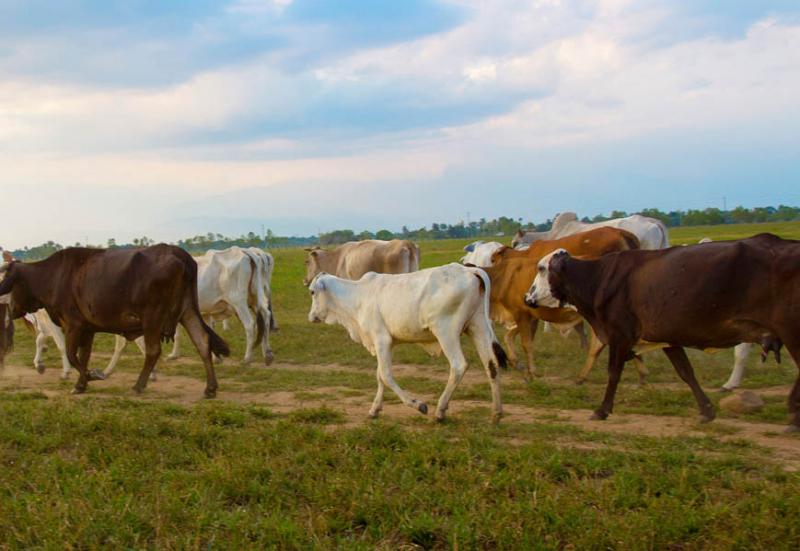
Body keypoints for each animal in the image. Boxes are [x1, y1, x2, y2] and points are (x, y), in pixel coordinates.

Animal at [0, 246, 230, 396]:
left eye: (6, 278)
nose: (7, 309)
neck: (53, 276)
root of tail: (179, 254)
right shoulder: (87, 328)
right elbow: (83, 356)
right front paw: (82, 383)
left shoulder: (73, 325)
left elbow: (72, 355)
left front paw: (90, 376)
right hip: (187, 311)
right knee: (202, 341)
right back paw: (210, 388)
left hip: (153, 317)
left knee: (153, 351)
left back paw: (139, 385)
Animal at [306, 266, 506, 424]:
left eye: (312, 292)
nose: (311, 316)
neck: (358, 296)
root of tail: (470, 270)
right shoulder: (385, 344)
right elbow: (380, 375)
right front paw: (374, 410)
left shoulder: (381, 340)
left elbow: (386, 376)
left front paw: (418, 405)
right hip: (478, 327)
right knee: (491, 365)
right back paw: (496, 413)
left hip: (446, 332)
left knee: (459, 365)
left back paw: (440, 411)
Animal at [478, 225, 648, 384]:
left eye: (492, 259)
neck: (507, 275)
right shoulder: (530, 315)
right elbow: (511, 337)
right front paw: (522, 368)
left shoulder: (522, 314)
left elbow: (526, 343)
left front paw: (531, 372)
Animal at [524, 233, 800, 432]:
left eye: (541, 269)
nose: (527, 297)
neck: (598, 278)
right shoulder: (666, 338)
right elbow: (686, 372)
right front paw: (706, 410)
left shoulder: (620, 336)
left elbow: (613, 373)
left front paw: (601, 410)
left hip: (790, 331)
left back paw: (793, 414)